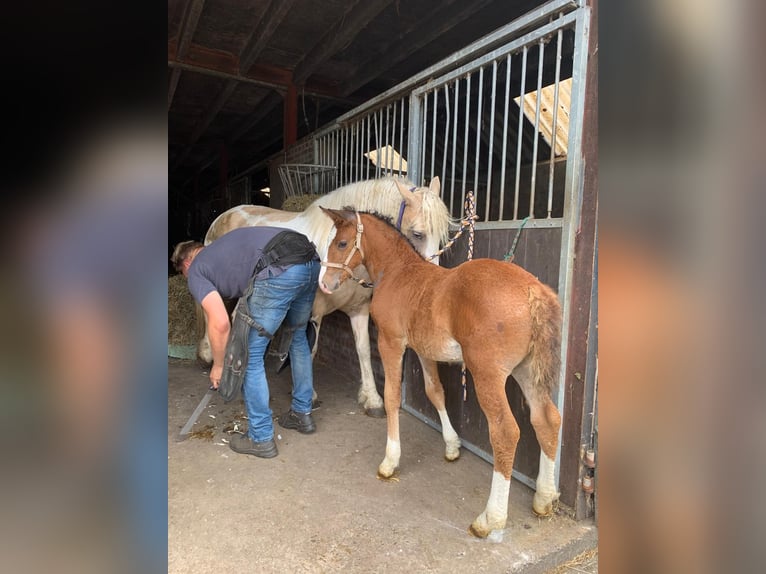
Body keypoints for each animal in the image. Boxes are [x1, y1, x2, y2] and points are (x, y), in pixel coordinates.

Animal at [200, 176, 453, 417]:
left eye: (442, 237)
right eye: (418, 234)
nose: (430, 284)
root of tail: (224, 216)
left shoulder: (359, 310)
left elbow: (363, 350)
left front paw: (372, 399)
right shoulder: (313, 312)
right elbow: (309, 350)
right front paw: (309, 396)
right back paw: (207, 355)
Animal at [317, 208, 563, 538]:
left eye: (342, 243)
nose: (325, 283)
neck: (398, 273)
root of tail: (533, 290)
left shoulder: (391, 342)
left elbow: (392, 397)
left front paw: (389, 462)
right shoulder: (423, 349)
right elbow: (435, 392)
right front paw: (452, 446)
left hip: (487, 373)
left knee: (505, 432)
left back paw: (490, 519)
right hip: (527, 370)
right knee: (546, 420)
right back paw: (544, 498)